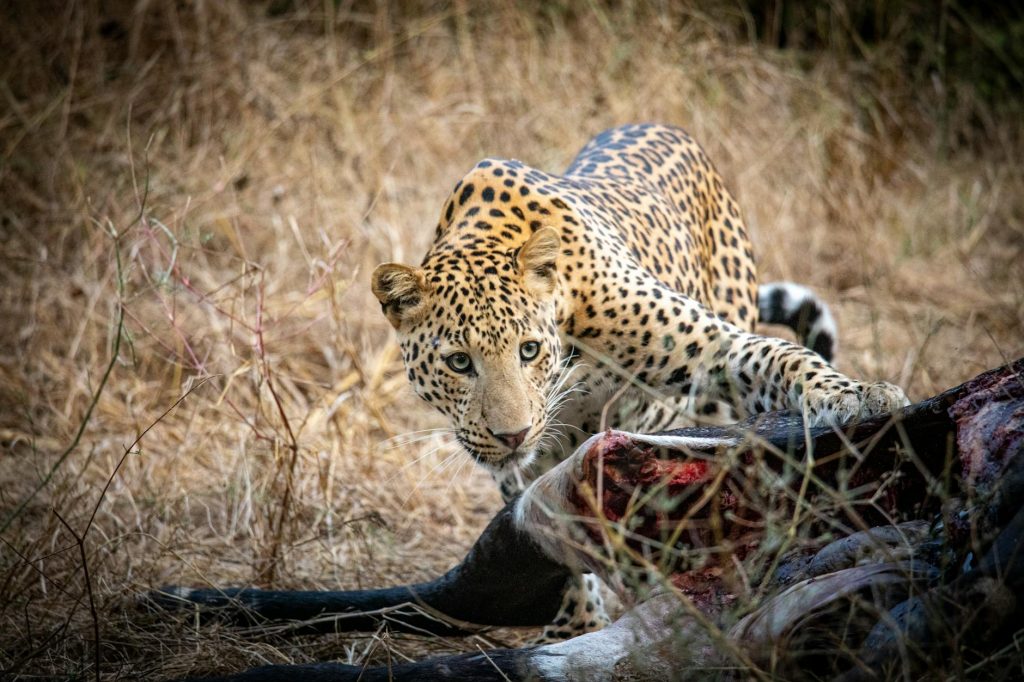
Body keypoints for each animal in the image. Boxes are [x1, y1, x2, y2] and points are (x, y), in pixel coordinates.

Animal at [371, 123, 908, 641]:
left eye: (528, 350)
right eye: (459, 362)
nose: (513, 435)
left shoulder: (713, 346)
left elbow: (783, 355)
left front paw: (856, 395)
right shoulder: (523, 461)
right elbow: (546, 524)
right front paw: (577, 624)